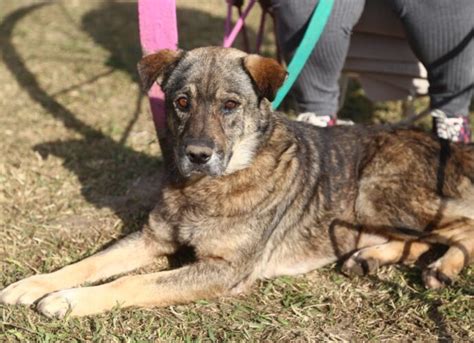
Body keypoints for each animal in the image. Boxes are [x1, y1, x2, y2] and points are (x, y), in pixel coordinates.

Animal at [0, 47, 474, 318]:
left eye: (230, 105)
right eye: (182, 102)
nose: (197, 155)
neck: (207, 187)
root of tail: (447, 145)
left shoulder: (224, 270)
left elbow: (133, 282)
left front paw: (68, 301)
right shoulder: (151, 238)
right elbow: (90, 264)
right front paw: (33, 285)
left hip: (375, 193)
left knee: (461, 228)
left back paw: (442, 267)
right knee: (412, 239)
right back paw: (368, 257)